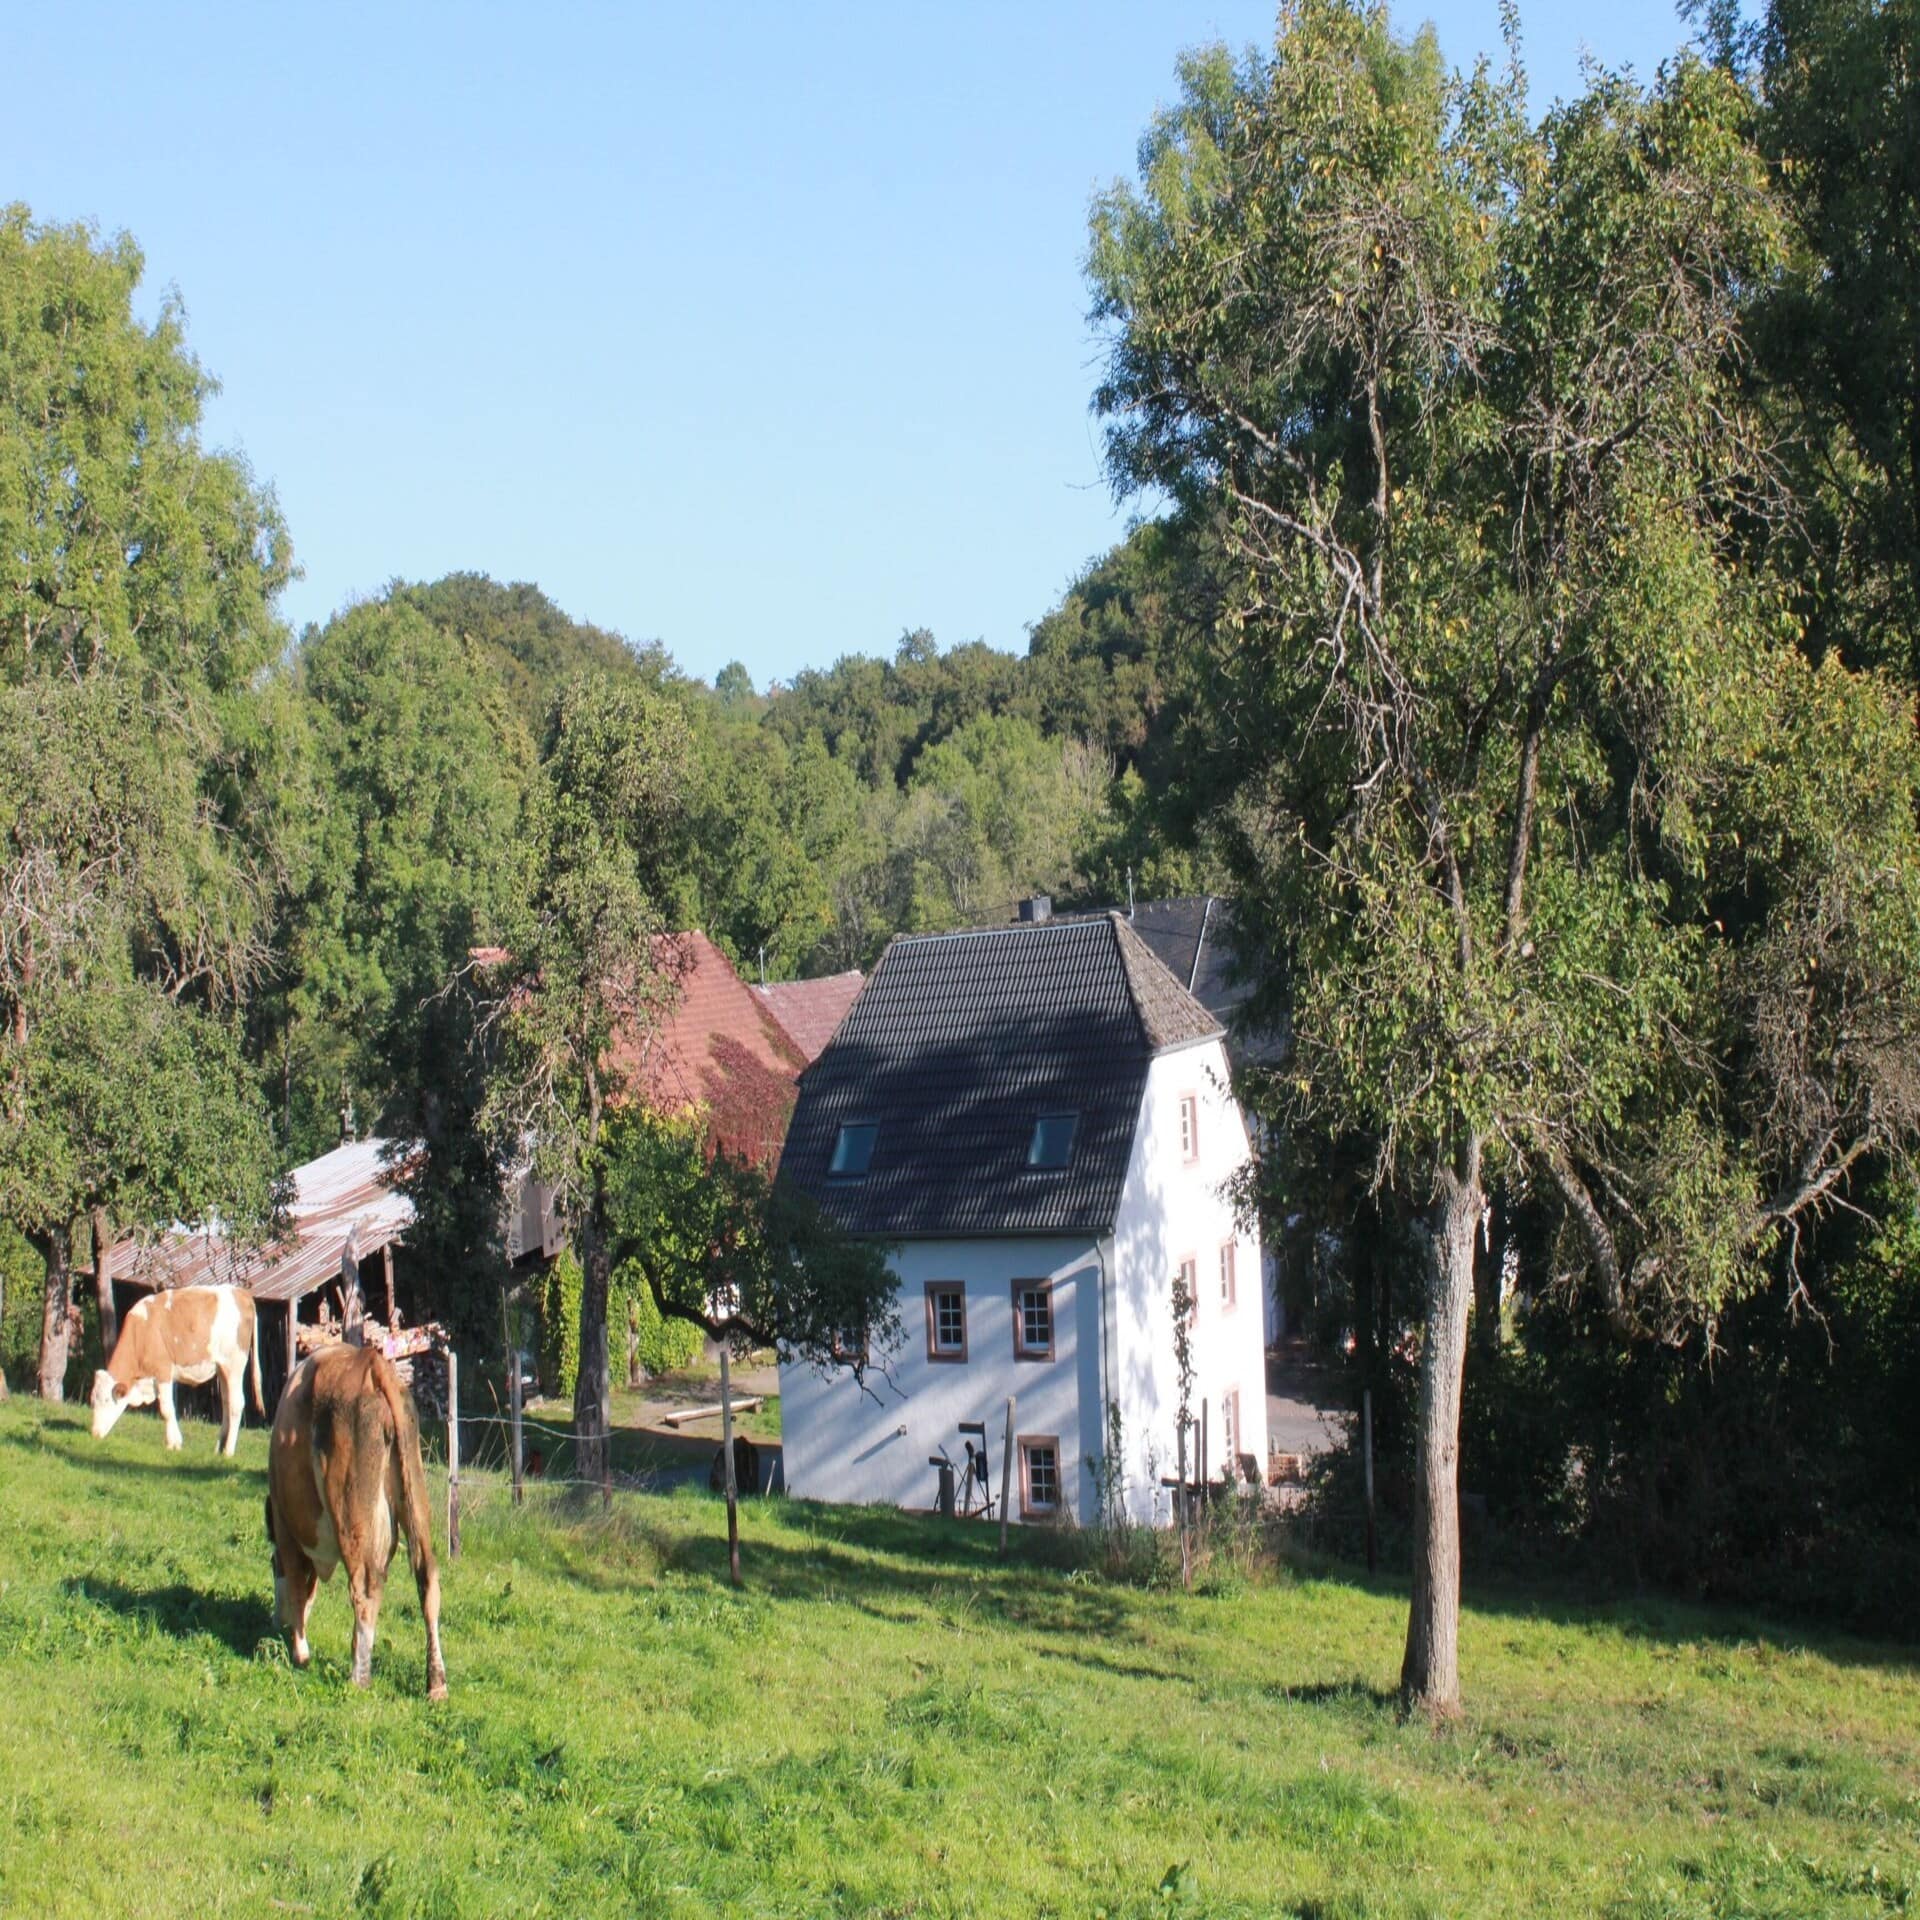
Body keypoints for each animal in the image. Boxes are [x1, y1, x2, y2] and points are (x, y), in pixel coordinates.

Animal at [88, 1282, 263, 1443]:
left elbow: (166, 1409)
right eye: (92, 1401)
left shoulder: (163, 1371)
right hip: (222, 1368)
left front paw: (174, 1443)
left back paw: (228, 1451)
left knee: (236, 1404)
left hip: (234, 1365)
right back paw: (219, 1448)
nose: (94, 1433)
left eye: (106, 1401)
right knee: (227, 1402)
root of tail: (241, 1293)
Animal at [264, 1351, 447, 1697]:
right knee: (426, 1576)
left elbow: (295, 1586)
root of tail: (371, 1363)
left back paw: (358, 1677)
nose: (275, 1621)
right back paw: (437, 1684)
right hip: (414, 1495)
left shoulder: (284, 1527)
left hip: (350, 1512)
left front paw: (301, 1653)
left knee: (364, 1585)